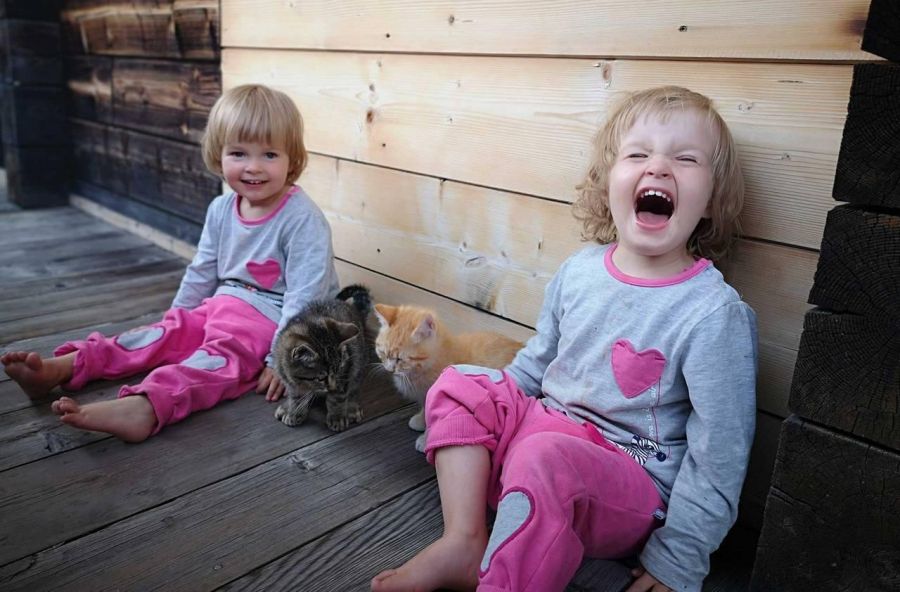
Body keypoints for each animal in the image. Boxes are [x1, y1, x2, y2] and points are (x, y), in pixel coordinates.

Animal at [274, 286, 372, 430]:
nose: (332, 387)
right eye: (321, 378)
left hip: (359, 362)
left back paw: (351, 408)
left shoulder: (346, 370)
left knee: (354, 386)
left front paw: (337, 416)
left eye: (338, 371)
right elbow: (295, 396)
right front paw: (294, 411)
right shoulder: (288, 379)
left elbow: (337, 398)